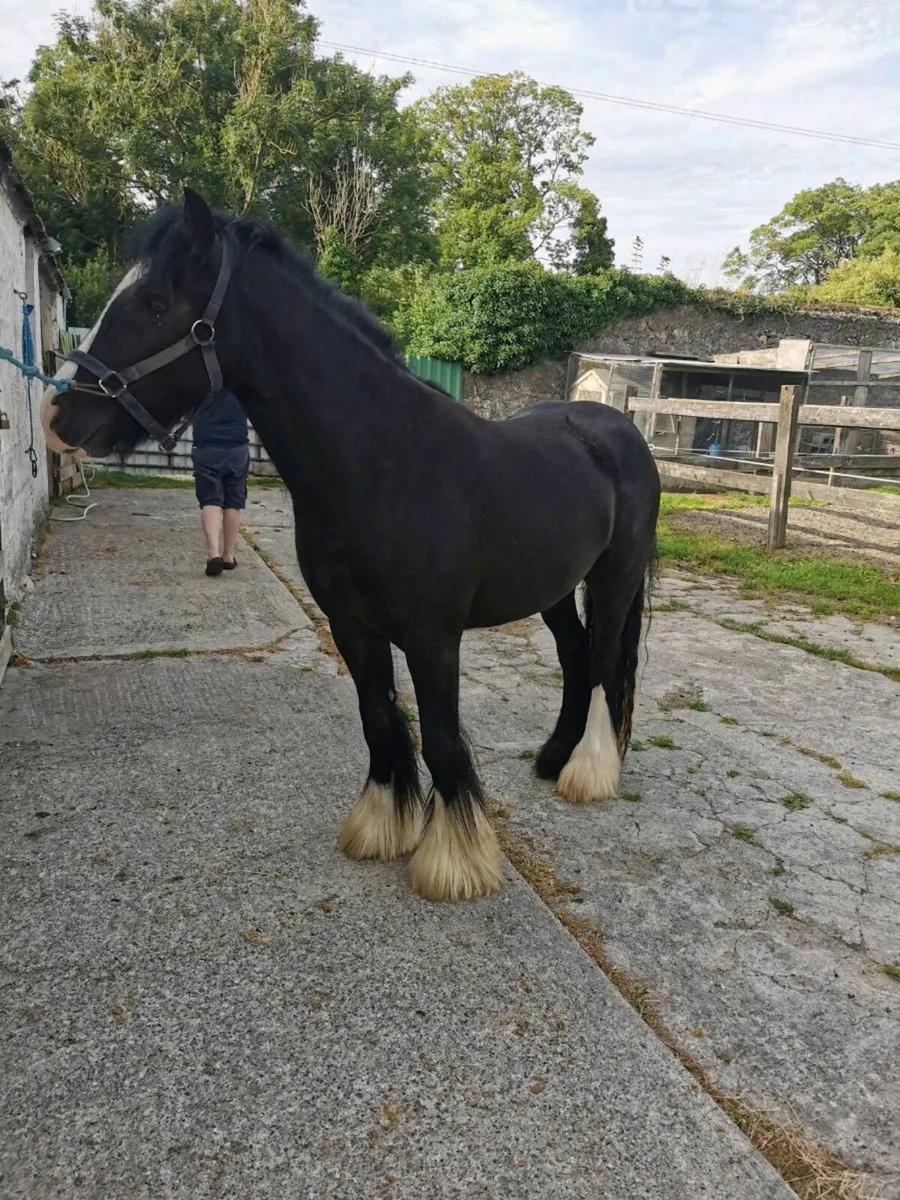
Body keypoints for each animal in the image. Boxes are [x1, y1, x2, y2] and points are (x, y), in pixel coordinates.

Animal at [42, 189, 660, 903]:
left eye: (156, 303)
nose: (57, 417)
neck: (383, 464)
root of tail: (618, 427)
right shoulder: (352, 626)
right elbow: (378, 719)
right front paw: (382, 826)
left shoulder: (431, 638)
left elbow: (440, 738)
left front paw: (454, 862)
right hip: (553, 590)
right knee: (577, 656)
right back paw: (553, 758)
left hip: (612, 580)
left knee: (606, 661)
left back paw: (587, 773)